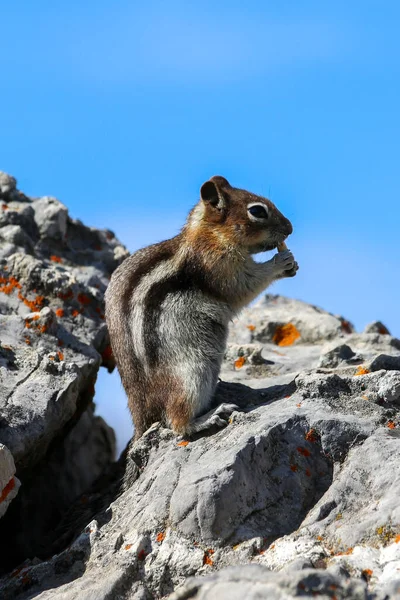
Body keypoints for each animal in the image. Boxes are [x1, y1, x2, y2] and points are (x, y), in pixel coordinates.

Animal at [104, 176, 298, 438]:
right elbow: (244, 284)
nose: (290, 228)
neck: (211, 233)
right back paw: (208, 417)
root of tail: (141, 415)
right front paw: (281, 262)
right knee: (176, 421)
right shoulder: (218, 265)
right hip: (192, 372)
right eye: (257, 211)